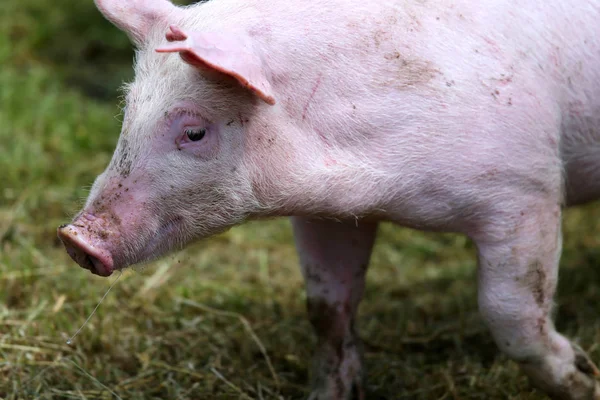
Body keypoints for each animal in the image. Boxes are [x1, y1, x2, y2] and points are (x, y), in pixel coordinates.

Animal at [57, 0, 600, 398]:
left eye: (194, 131)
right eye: (128, 109)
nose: (75, 238)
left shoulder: (526, 188)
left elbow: (512, 312)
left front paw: (583, 380)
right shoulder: (327, 214)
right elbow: (326, 306)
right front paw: (330, 393)